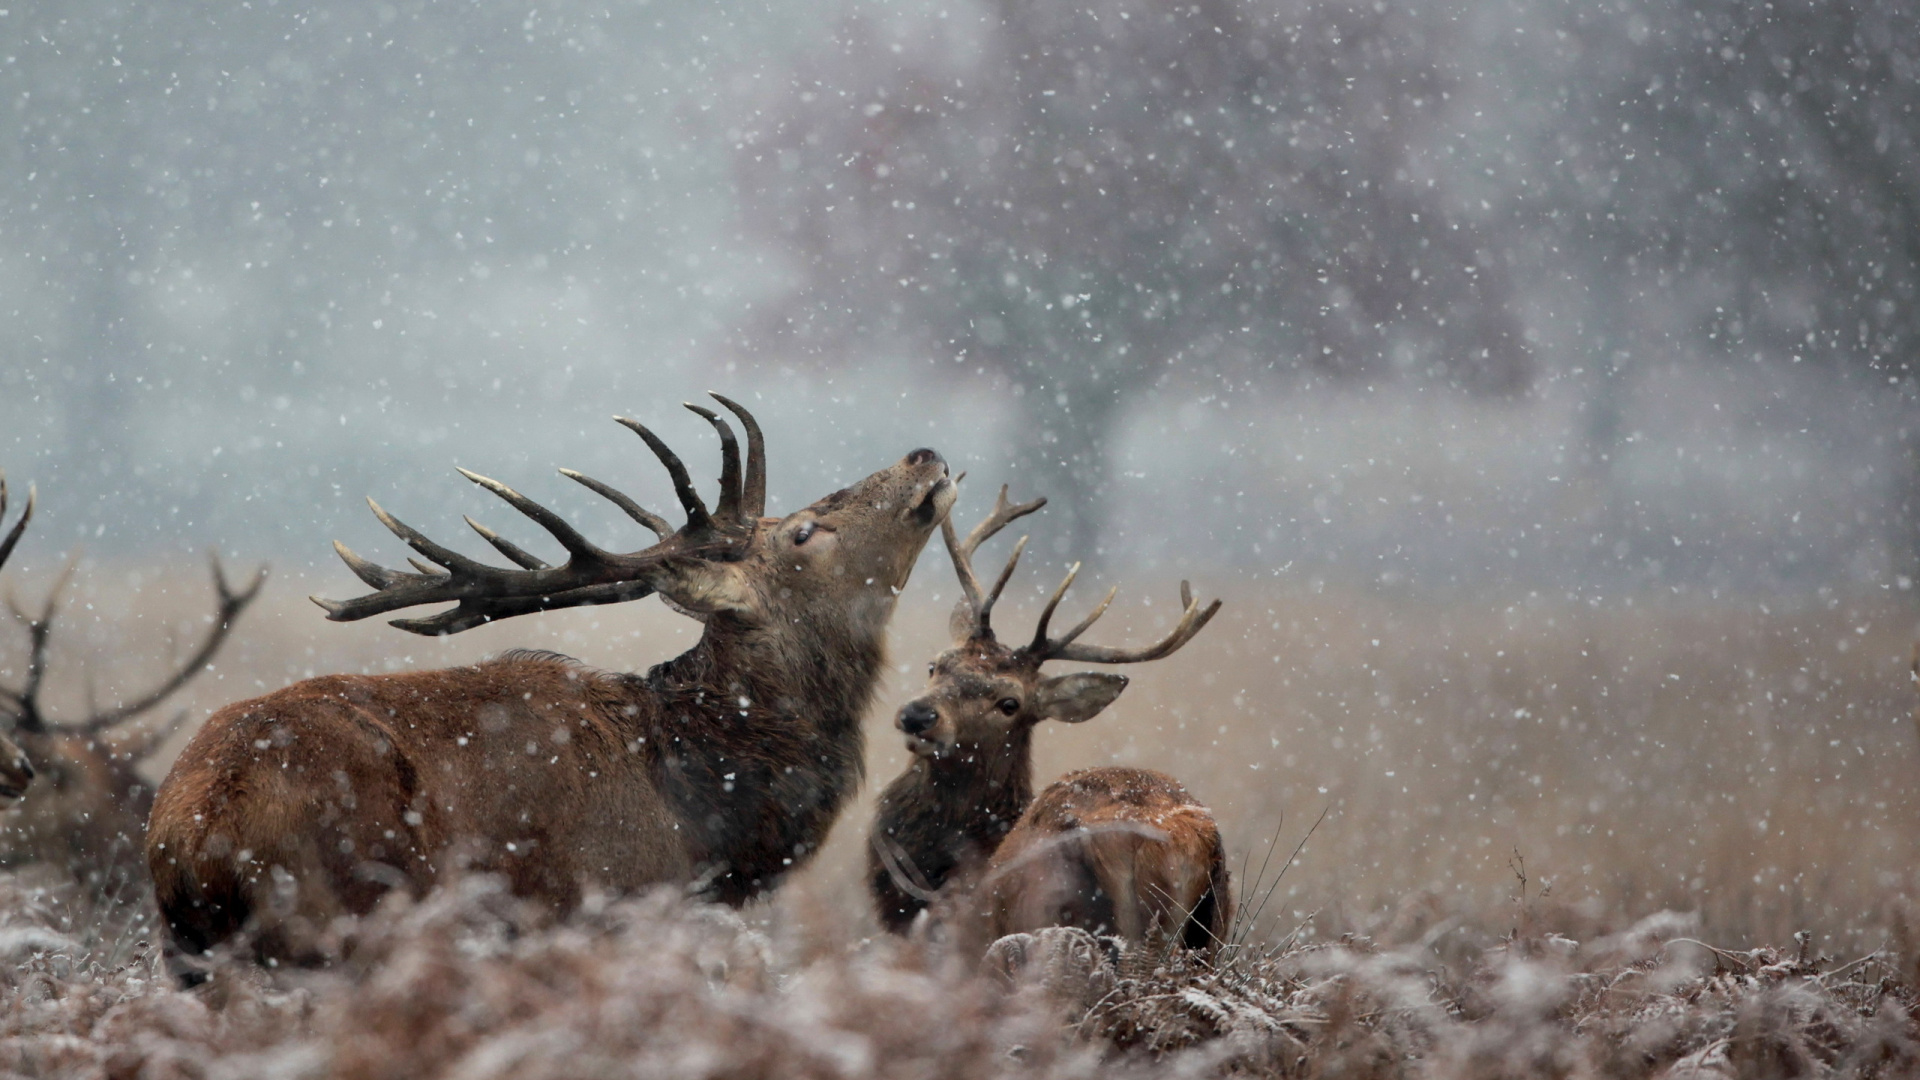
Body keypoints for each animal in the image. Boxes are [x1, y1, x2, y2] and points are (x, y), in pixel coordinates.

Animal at [149, 395, 960, 976]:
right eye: (804, 531)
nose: (924, 454)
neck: (704, 822)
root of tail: (194, 832)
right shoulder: (605, 908)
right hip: (342, 919)